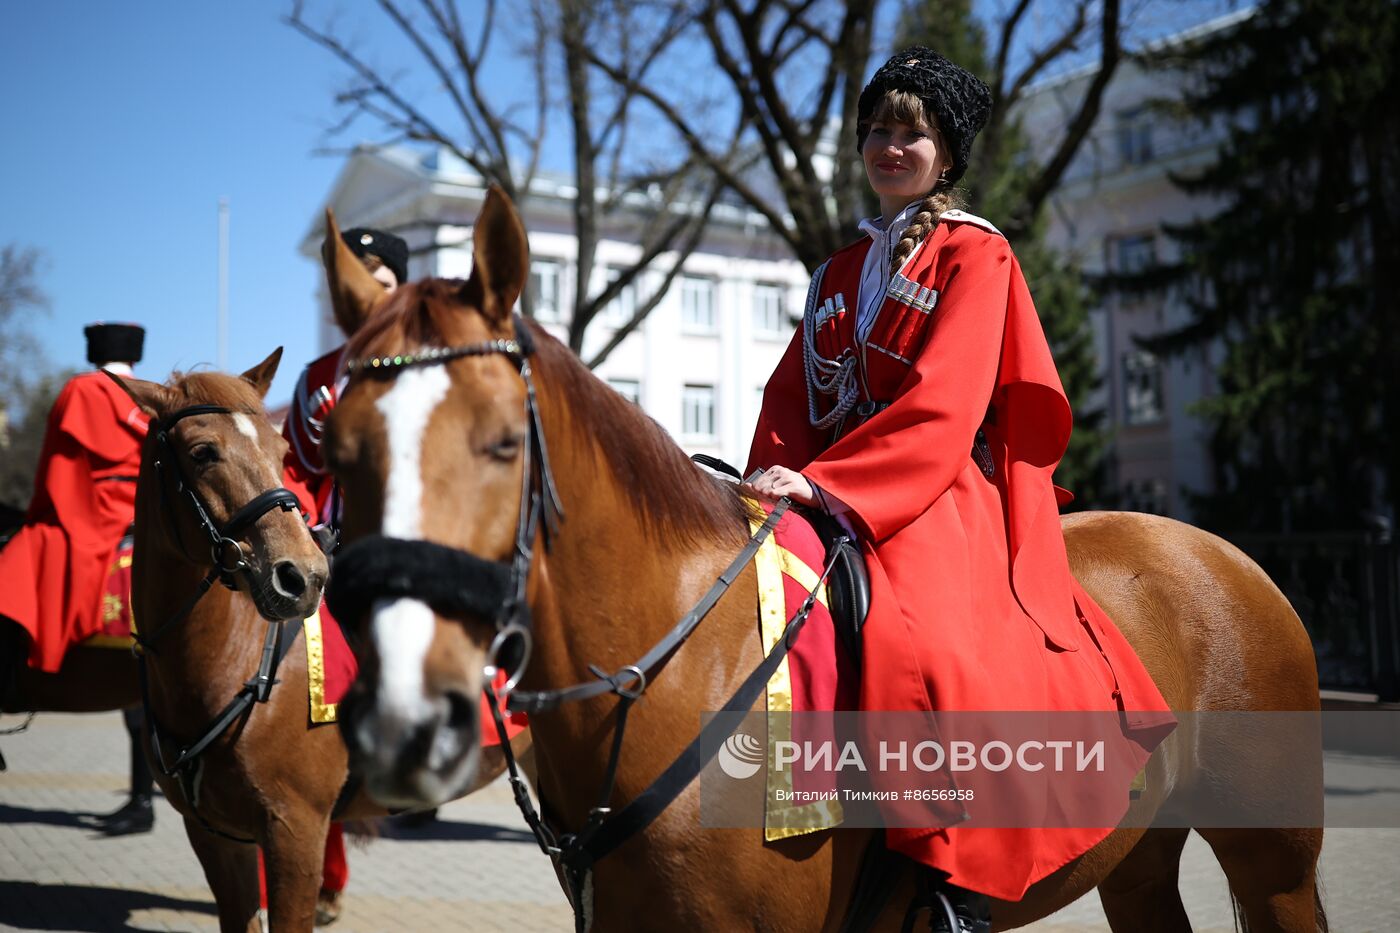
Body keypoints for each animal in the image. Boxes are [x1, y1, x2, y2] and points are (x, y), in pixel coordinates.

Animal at [322, 189, 1327, 930]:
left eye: (503, 444)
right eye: (340, 447)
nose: (405, 719)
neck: (674, 671)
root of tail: (1229, 557)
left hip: (1272, 857)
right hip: (1142, 858)